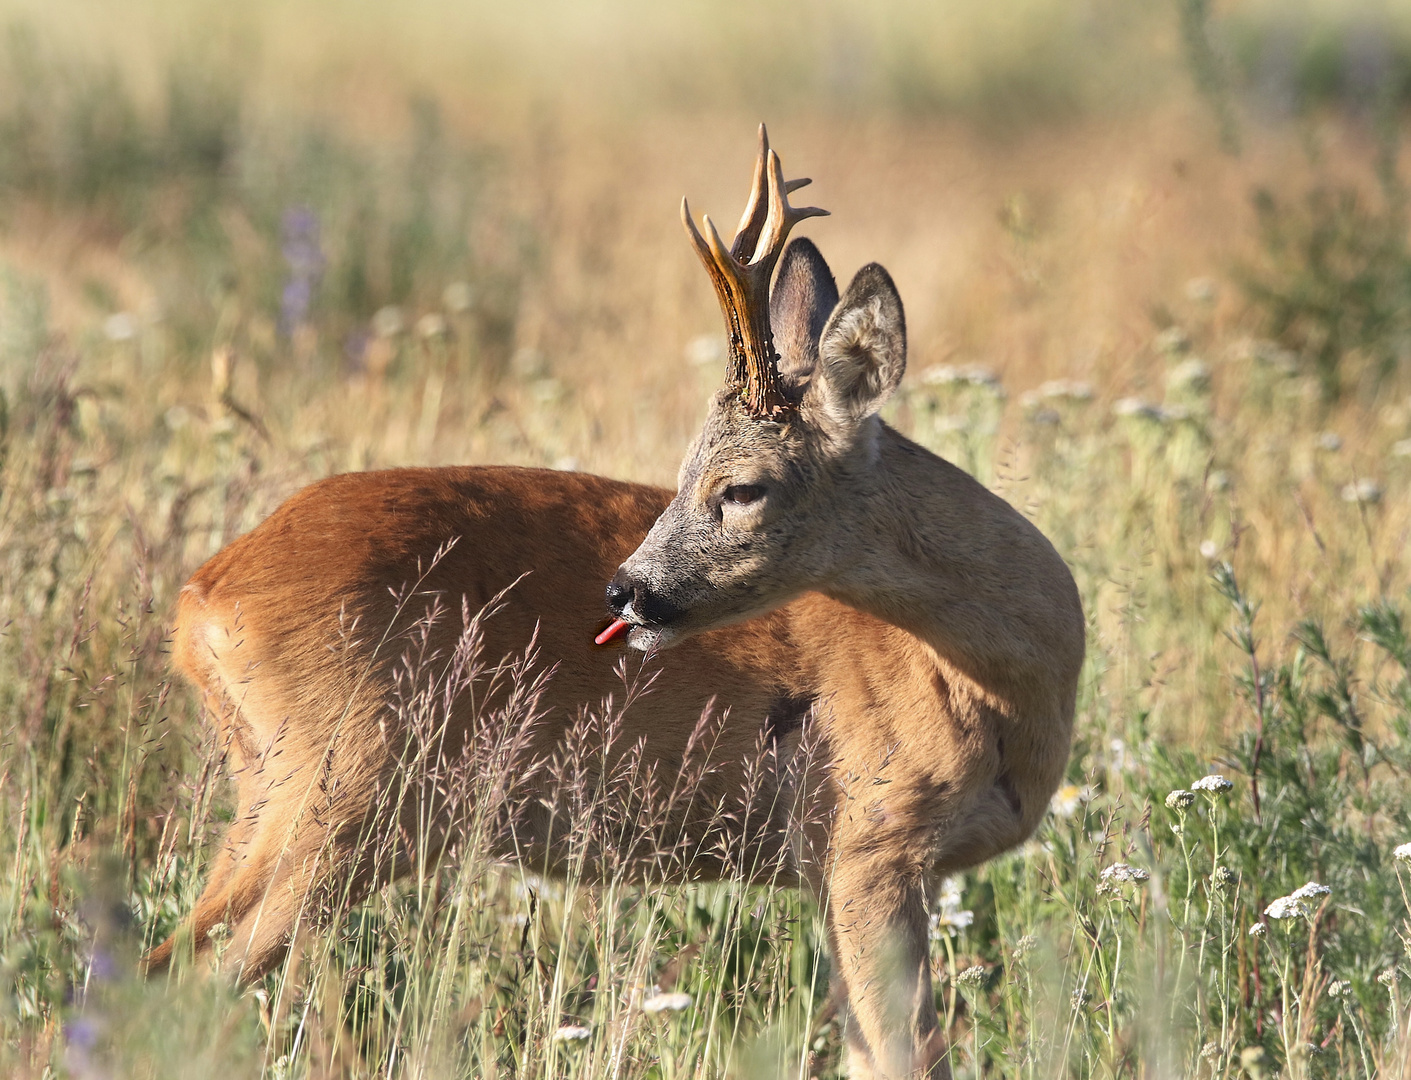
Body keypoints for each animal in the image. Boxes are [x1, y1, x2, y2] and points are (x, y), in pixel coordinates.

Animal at [151, 128, 1078, 1078]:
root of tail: (199, 600)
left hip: (284, 785)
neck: (997, 686)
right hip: (343, 783)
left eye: (738, 486)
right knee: (189, 976)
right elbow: (901, 1056)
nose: (624, 591)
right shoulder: (865, 835)